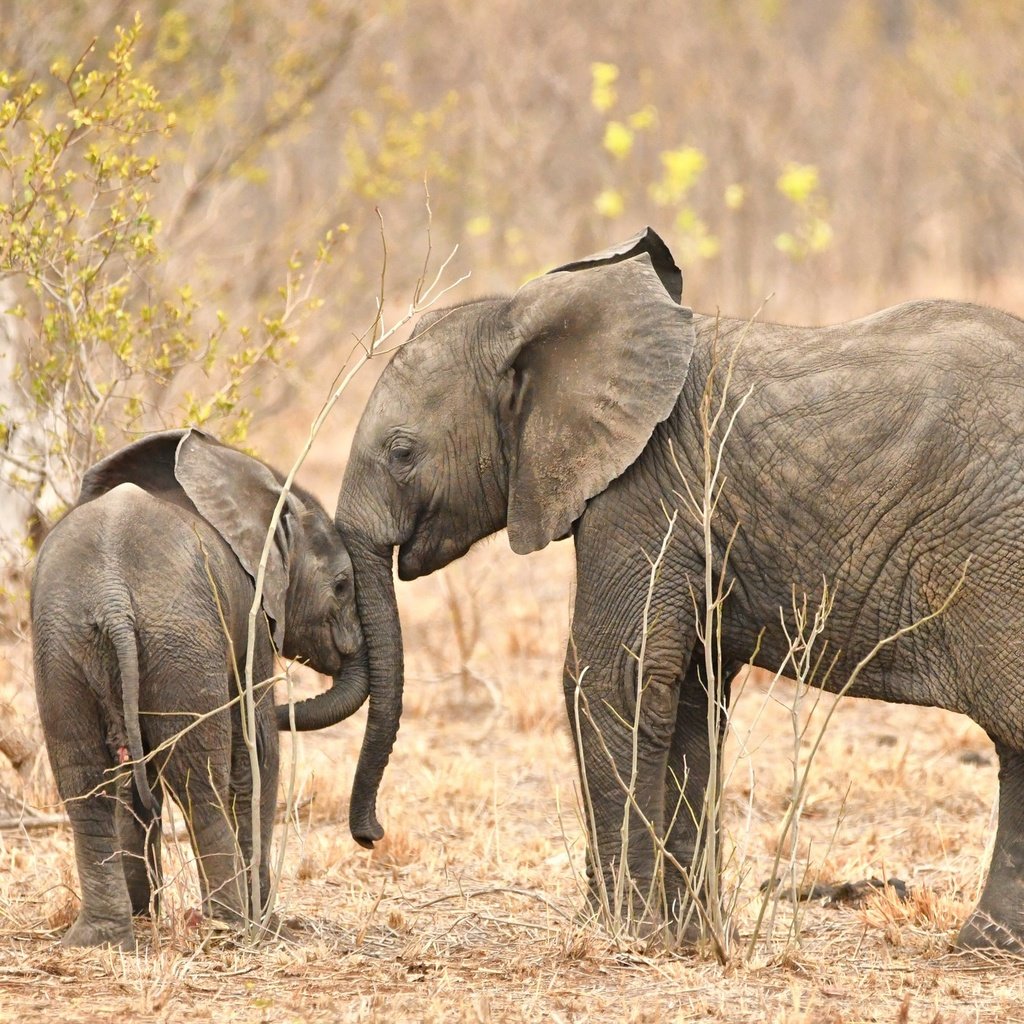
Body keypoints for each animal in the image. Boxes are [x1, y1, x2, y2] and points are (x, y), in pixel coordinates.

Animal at [33, 428, 368, 946]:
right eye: (342, 585)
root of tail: (111, 597)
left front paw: (144, 914)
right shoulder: (250, 616)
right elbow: (258, 750)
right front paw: (266, 921)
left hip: (64, 645)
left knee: (84, 779)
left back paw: (102, 938)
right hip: (178, 641)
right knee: (199, 779)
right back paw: (231, 926)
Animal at [331, 230, 1024, 950]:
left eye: (402, 452)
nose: (371, 835)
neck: (527, 319)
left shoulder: (644, 494)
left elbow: (613, 679)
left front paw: (624, 934)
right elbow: (689, 700)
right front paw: (689, 940)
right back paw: (987, 945)